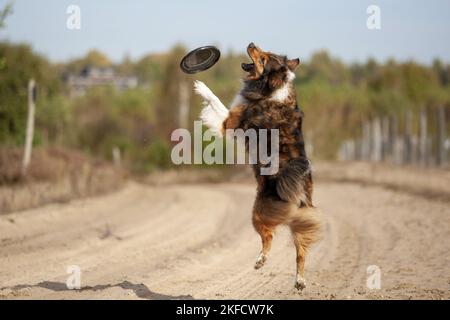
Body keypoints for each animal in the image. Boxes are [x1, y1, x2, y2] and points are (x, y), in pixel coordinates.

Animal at [193, 42, 320, 290]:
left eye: (263, 58)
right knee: (300, 250)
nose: (251, 43)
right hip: (302, 217)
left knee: (268, 237)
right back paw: (299, 281)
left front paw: (201, 87)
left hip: (257, 213)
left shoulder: (230, 123)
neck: (271, 89)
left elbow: (216, 101)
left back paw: (260, 261)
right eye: (266, 53)